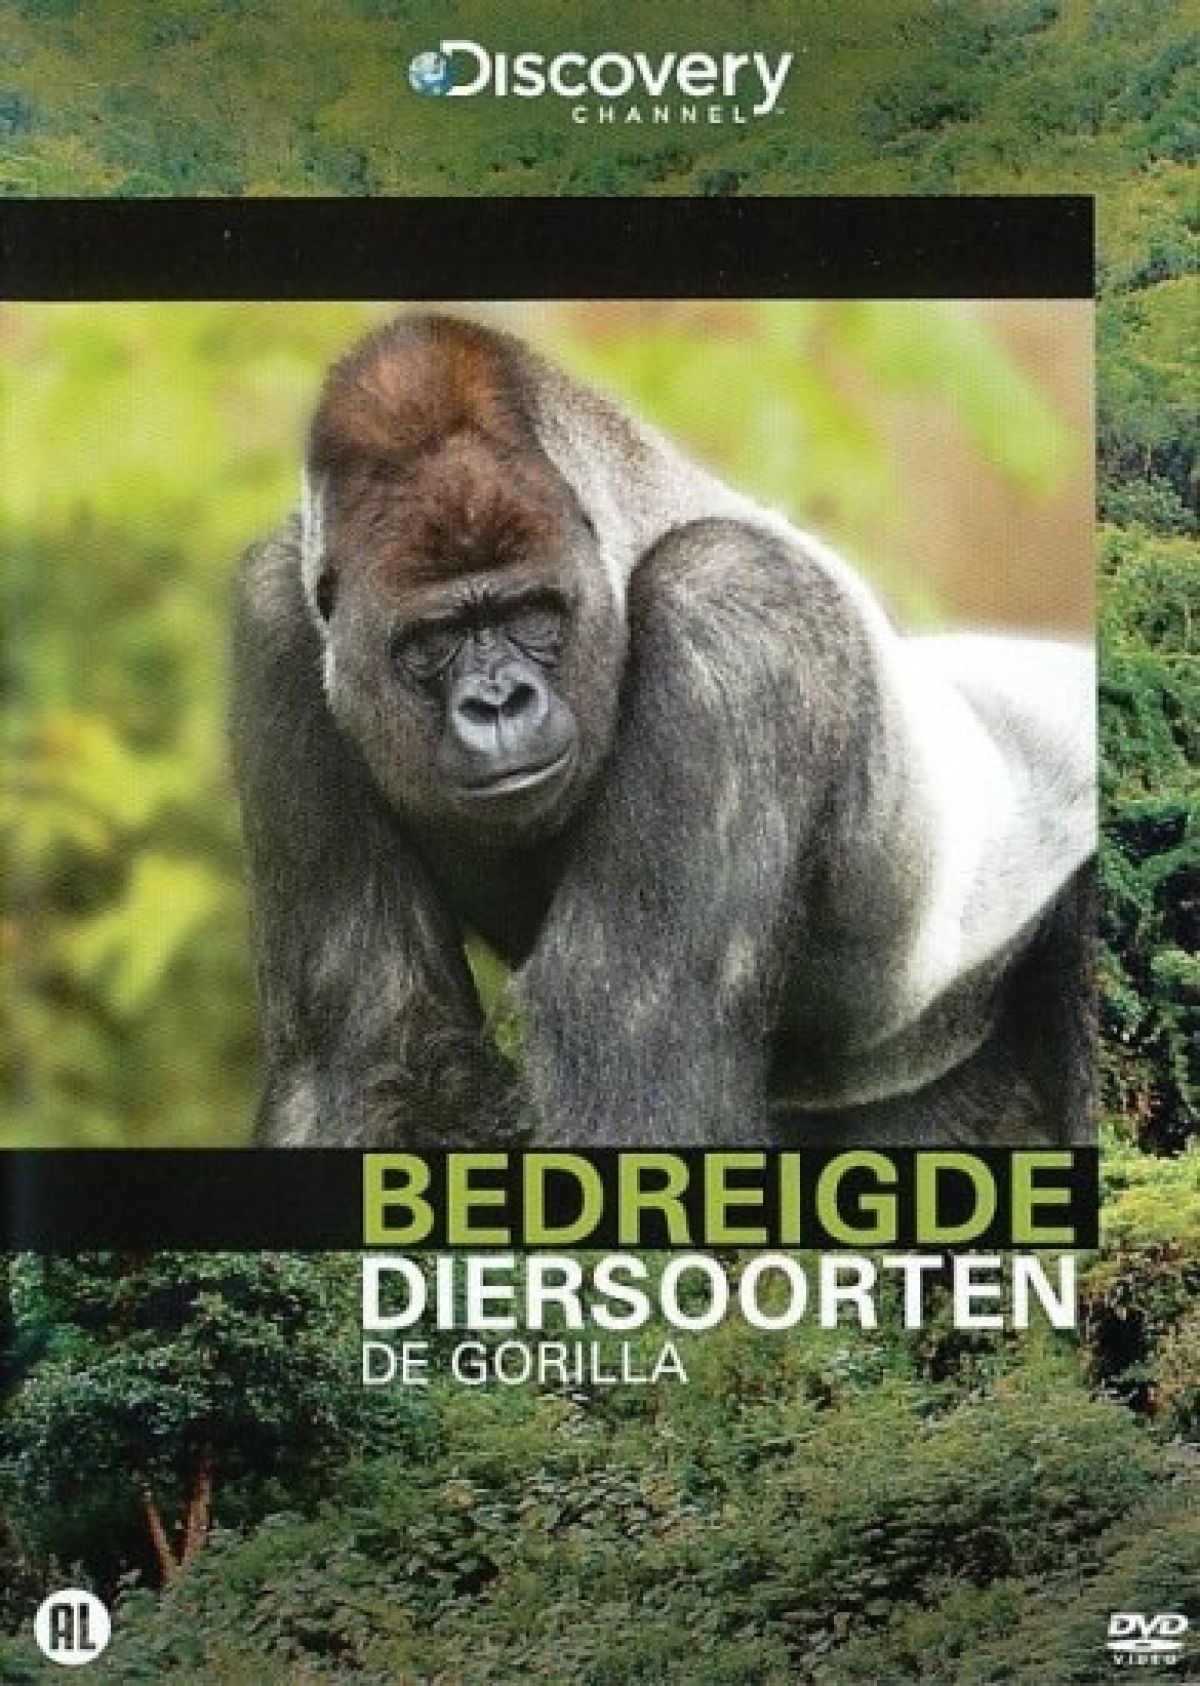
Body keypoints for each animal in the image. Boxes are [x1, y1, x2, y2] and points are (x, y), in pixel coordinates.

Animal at [231, 312, 1096, 1148]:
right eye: (434, 638)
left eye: (532, 614)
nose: (499, 703)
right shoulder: (278, 613)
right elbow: (369, 1054)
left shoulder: (730, 612)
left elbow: (628, 1050)